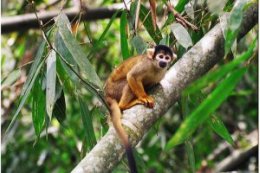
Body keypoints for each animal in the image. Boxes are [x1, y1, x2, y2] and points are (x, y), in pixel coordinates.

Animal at [104, 45, 176, 173]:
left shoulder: (162, 73)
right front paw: (143, 97)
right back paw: (125, 105)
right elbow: (132, 76)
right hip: (115, 89)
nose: (163, 62)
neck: (155, 67)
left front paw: (151, 88)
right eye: (160, 56)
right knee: (127, 83)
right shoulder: (145, 64)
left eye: (167, 58)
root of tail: (107, 93)